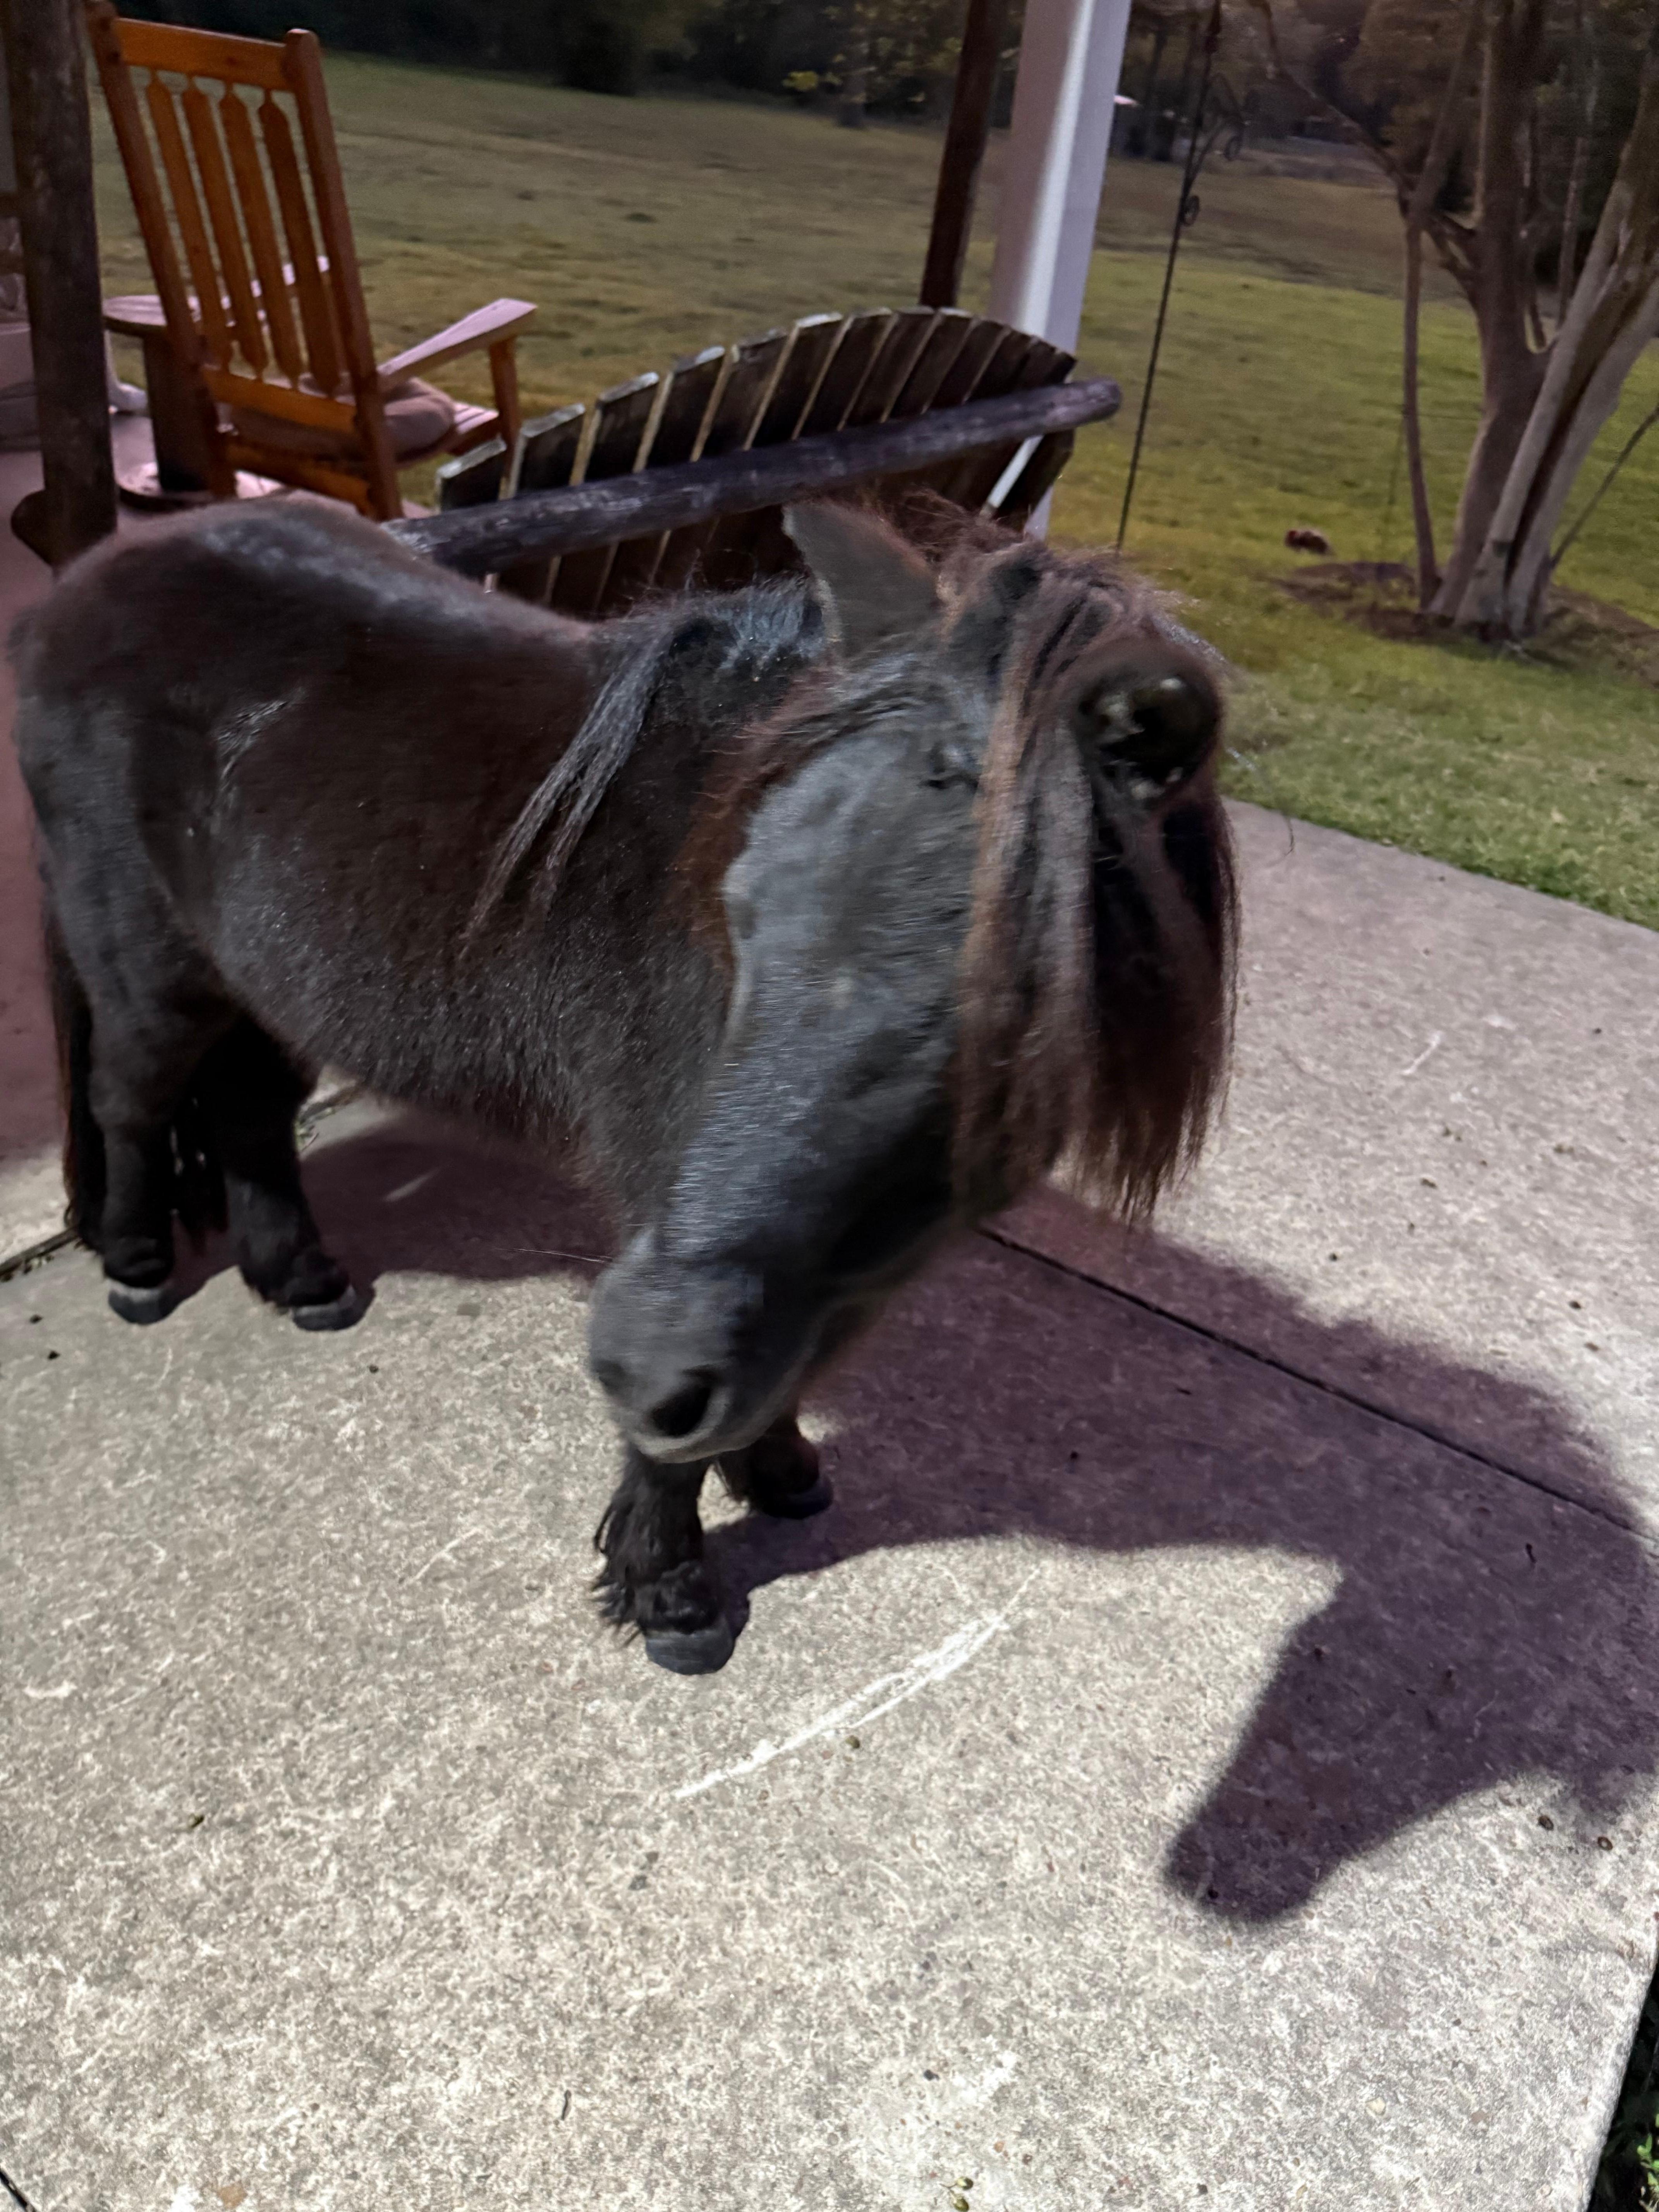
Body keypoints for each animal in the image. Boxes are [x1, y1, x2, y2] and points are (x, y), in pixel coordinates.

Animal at [12, 495, 1236, 1673]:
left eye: (1014, 992)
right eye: (741, 905)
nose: (635, 1358)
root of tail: (81, 583)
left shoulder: (791, 1259)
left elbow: (772, 1370)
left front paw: (779, 1475)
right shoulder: (686, 1220)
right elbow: (673, 1437)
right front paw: (670, 1593)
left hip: (264, 984)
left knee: (253, 1116)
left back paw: (304, 1281)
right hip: (150, 972)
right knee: (132, 1101)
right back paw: (137, 1269)